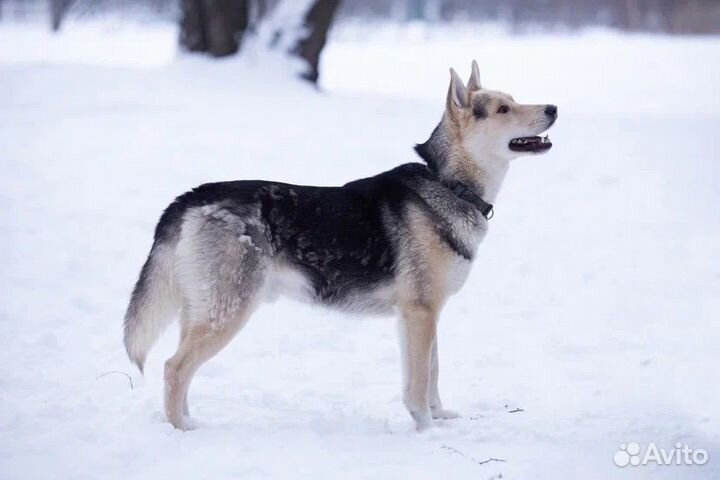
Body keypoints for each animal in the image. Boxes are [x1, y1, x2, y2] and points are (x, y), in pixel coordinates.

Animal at [122, 60, 556, 432]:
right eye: (503, 109)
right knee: (173, 368)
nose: (553, 107)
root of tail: (191, 196)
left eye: (513, 99)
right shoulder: (420, 312)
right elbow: (419, 383)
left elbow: (432, 373)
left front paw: (439, 417)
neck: (450, 184)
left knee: (181, 370)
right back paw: (180, 431)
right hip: (227, 313)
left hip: (203, 309)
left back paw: (186, 421)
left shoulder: (424, 315)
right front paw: (426, 430)